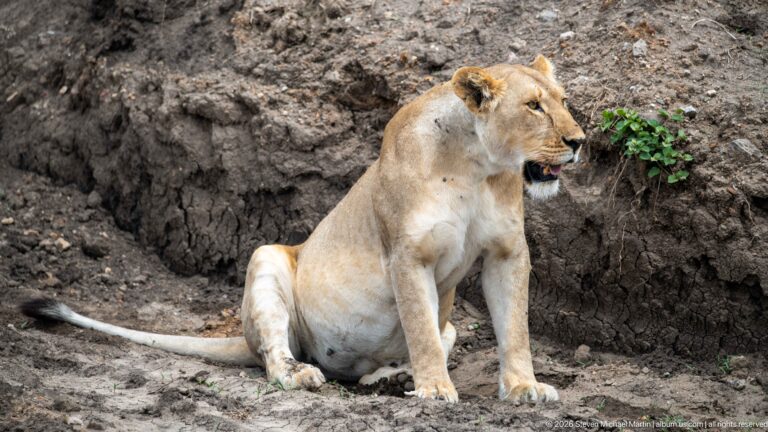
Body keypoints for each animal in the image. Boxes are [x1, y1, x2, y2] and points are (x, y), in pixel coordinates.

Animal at [22, 55, 584, 403]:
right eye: (533, 106)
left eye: (562, 100)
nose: (579, 141)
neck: (476, 166)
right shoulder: (407, 256)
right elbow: (421, 331)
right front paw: (435, 390)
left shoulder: (507, 253)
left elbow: (515, 329)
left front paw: (524, 388)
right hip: (267, 258)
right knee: (275, 356)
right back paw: (304, 374)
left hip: (444, 327)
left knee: (386, 361)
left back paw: (390, 378)